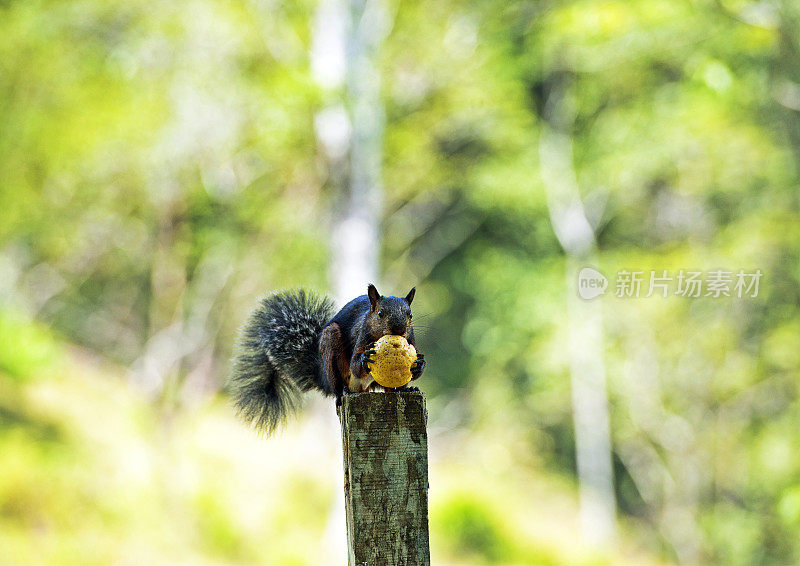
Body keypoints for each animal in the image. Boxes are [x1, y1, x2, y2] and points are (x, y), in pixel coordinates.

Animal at [227, 286, 424, 432]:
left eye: (410, 315)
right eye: (381, 313)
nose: (399, 329)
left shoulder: (412, 340)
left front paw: (420, 364)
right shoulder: (361, 335)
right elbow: (355, 364)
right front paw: (364, 358)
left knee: (391, 389)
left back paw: (405, 390)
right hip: (331, 345)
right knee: (338, 385)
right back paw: (342, 392)